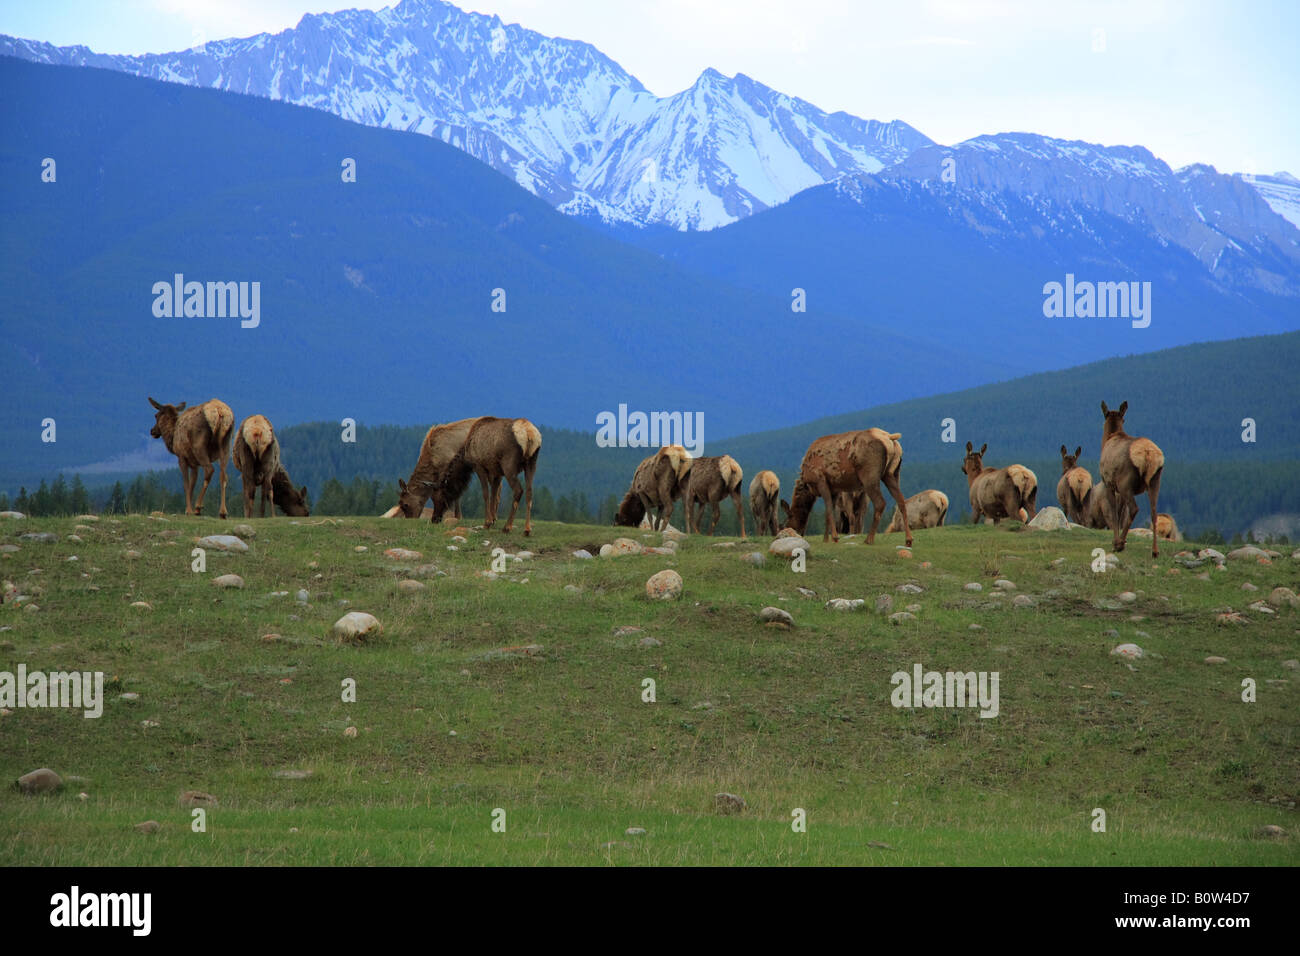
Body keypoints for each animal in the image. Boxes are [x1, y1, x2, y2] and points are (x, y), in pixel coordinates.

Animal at [774, 429, 909, 546]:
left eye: (784, 525)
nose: (797, 533)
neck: (808, 484)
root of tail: (890, 438)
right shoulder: (834, 489)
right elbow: (828, 513)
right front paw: (826, 539)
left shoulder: (821, 480)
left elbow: (829, 510)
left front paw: (834, 537)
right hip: (892, 474)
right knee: (901, 501)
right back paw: (908, 540)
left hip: (869, 476)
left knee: (880, 503)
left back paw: (869, 539)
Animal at [1097, 400, 1170, 556]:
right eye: (1124, 419)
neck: (1109, 437)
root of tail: (1148, 454)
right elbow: (1121, 512)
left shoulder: (1108, 483)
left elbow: (1114, 512)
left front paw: (1115, 542)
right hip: (1155, 480)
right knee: (1154, 512)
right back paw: (1155, 551)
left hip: (1125, 482)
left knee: (1134, 509)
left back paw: (1119, 544)